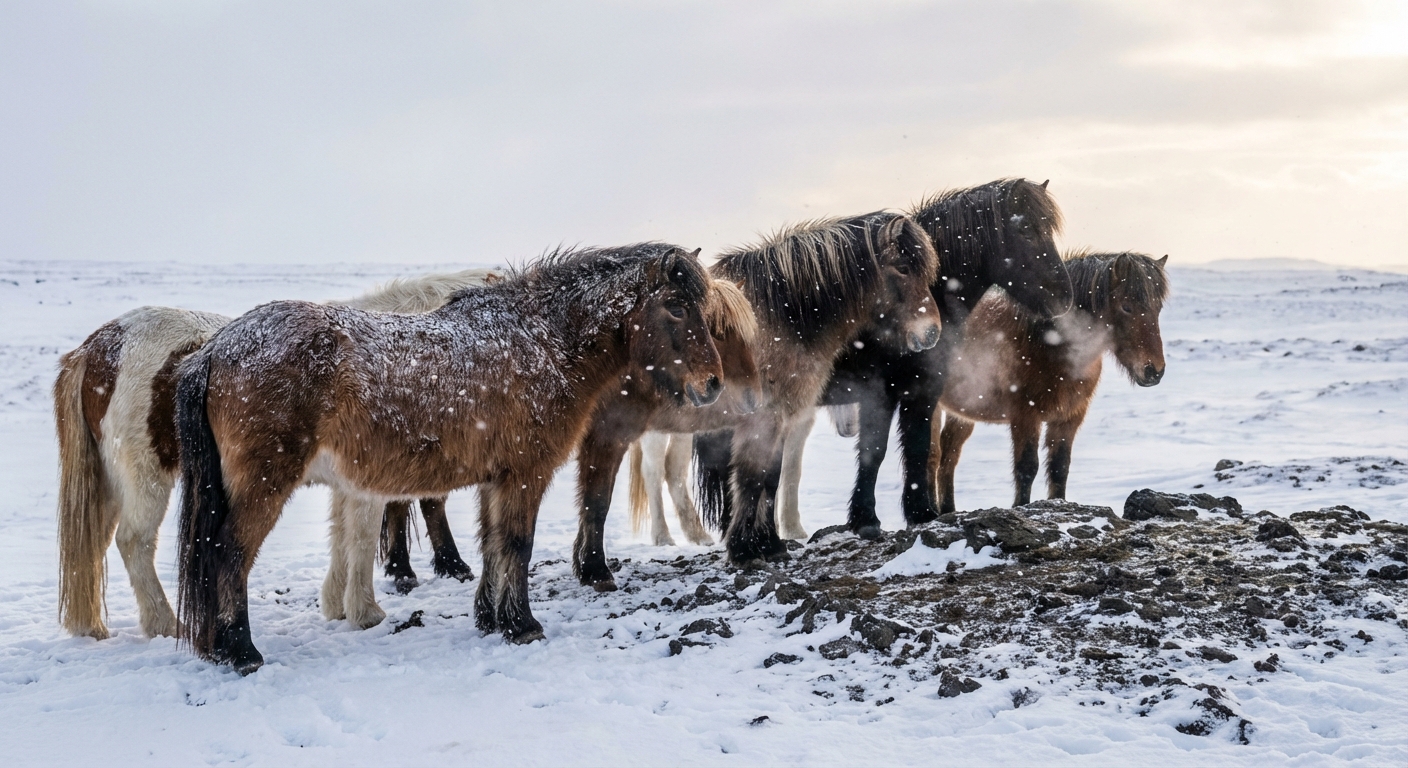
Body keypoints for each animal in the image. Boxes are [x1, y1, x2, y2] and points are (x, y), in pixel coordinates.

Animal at [53, 268, 496, 640]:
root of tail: (98, 347)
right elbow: (366, 533)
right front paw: (367, 611)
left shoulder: (349, 480)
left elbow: (342, 534)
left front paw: (337, 604)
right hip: (148, 476)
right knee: (135, 541)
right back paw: (166, 624)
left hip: (110, 480)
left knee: (96, 545)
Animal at [175, 244, 724, 673]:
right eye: (677, 306)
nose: (713, 384)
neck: (541, 341)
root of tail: (215, 348)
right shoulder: (525, 474)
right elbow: (517, 545)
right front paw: (523, 625)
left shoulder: (495, 478)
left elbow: (492, 544)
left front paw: (490, 619)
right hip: (264, 484)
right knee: (229, 553)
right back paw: (241, 652)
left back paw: (221, 648)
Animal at [804, 178, 1074, 539]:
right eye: (1026, 230)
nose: (1064, 298)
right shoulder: (906, 391)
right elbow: (904, 449)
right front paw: (915, 514)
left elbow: (891, 452)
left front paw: (871, 517)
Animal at [932, 251, 1169, 512]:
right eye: (1127, 307)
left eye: (1158, 308)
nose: (1154, 371)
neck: (1047, 341)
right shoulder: (1025, 415)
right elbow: (1027, 467)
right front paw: (1020, 507)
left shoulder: (1069, 418)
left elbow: (1059, 467)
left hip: (961, 414)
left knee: (948, 456)